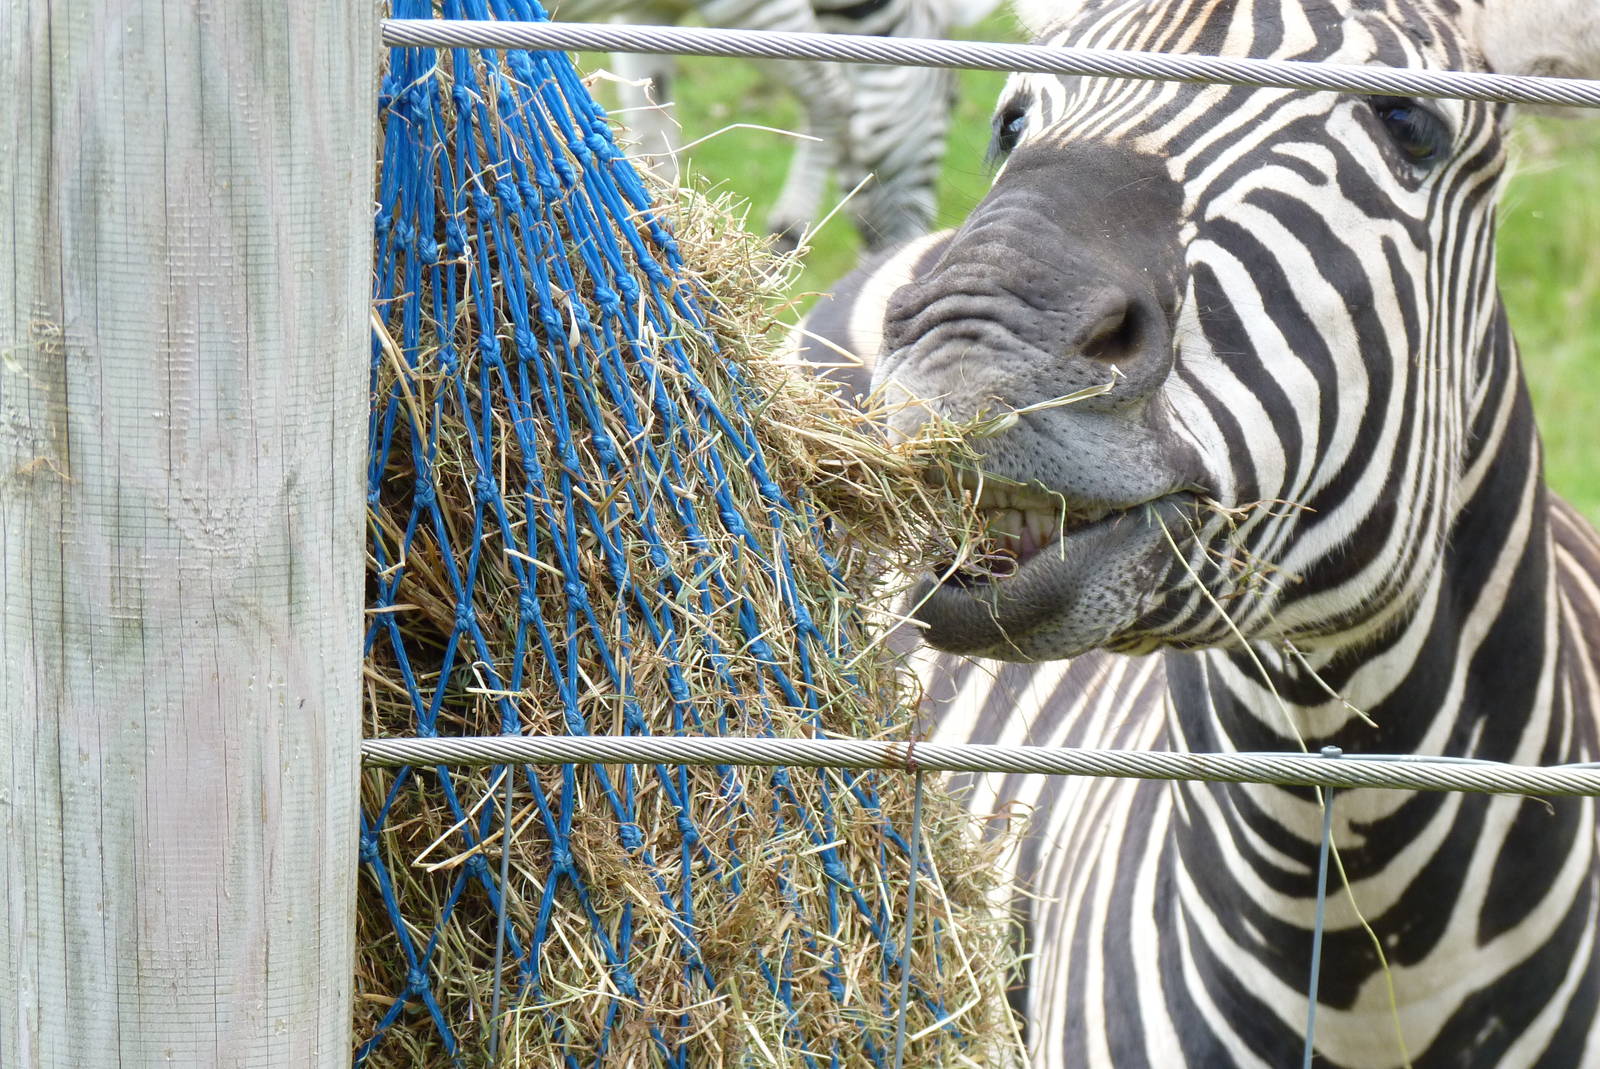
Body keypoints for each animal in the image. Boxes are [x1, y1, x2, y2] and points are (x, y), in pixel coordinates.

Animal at [555, 0, 982, 249]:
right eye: (954, 102)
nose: (915, 247)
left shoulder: (649, 15)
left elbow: (655, 139)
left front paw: (662, 221)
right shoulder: (754, 6)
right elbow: (833, 99)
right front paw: (788, 232)